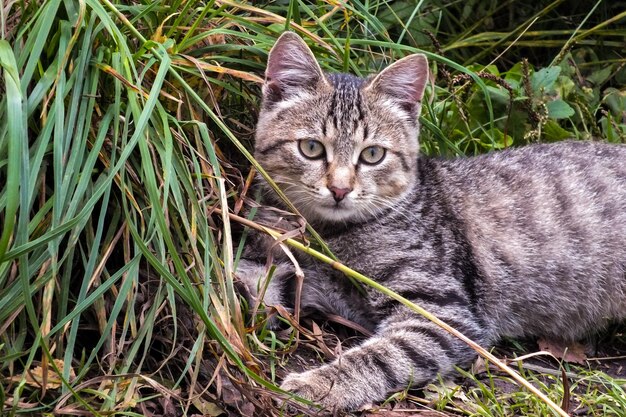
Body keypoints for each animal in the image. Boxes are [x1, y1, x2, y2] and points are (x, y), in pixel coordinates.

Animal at [235, 32, 624, 410]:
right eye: (312, 148)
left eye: (372, 154)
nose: (340, 189)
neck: (327, 233)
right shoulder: (307, 277)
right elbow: (260, 282)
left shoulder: (443, 312)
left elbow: (382, 356)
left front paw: (319, 385)